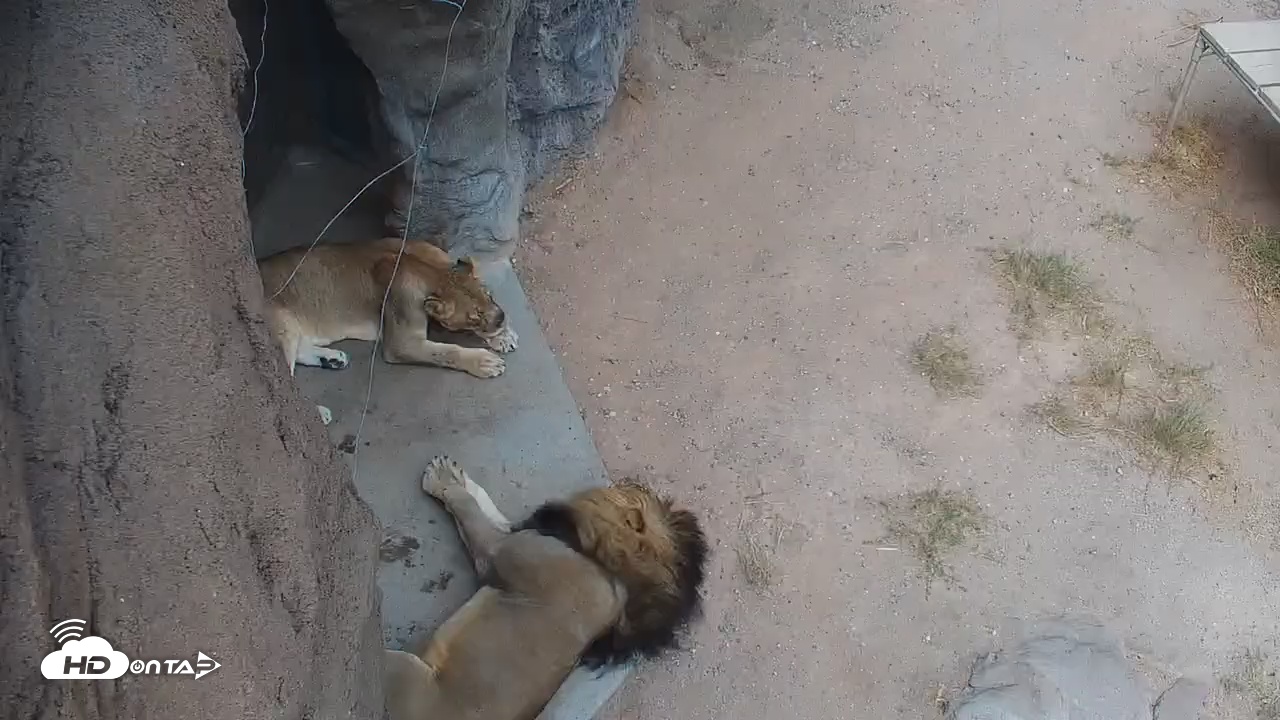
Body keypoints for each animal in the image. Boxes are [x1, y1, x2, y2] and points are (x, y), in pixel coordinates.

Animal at [258, 239, 518, 423]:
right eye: (474, 317)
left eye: (490, 295)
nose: (501, 319)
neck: (426, 269)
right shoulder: (401, 342)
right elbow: (447, 351)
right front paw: (484, 362)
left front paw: (503, 336)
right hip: (282, 325)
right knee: (282, 381)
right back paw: (316, 414)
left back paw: (333, 359)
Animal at [384, 456, 708, 720]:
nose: (631, 481)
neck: (607, 565)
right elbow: (489, 510)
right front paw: (456, 474)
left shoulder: (497, 553)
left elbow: (469, 511)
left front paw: (443, 480)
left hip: (402, 670)